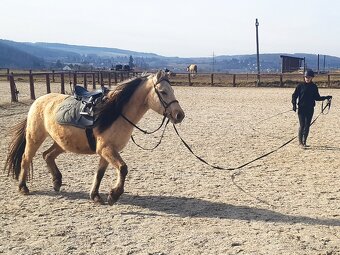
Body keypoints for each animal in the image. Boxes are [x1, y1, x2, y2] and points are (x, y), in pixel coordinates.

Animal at [3, 70, 185, 205]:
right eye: (163, 92)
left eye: (172, 90)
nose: (179, 115)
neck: (116, 112)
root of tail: (38, 101)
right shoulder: (106, 149)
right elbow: (123, 168)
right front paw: (114, 195)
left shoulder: (107, 151)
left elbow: (100, 173)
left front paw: (96, 196)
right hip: (35, 137)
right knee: (26, 159)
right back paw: (23, 187)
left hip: (62, 143)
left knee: (47, 155)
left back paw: (57, 181)